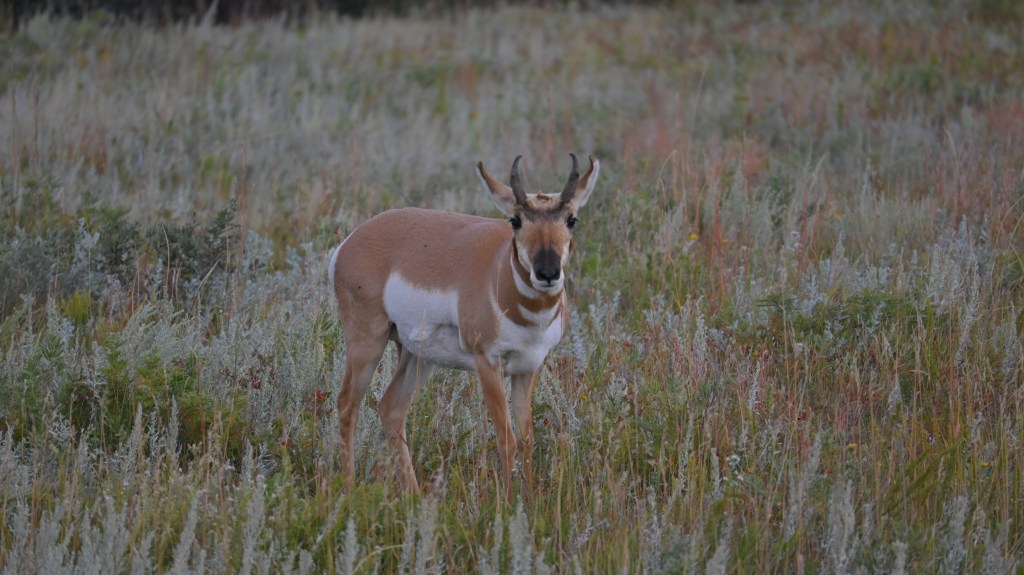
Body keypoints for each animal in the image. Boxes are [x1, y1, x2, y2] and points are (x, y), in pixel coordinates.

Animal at [329, 154, 599, 497]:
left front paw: (529, 500)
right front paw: (508, 501)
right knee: (347, 404)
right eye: (515, 220)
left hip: (417, 356)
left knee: (391, 407)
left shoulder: (528, 367)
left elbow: (527, 439)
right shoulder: (487, 363)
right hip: (368, 343)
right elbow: (507, 439)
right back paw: (350, 490)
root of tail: (351, 241)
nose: (547, 272)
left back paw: (414, 496)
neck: (500, 273)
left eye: (571, 219)